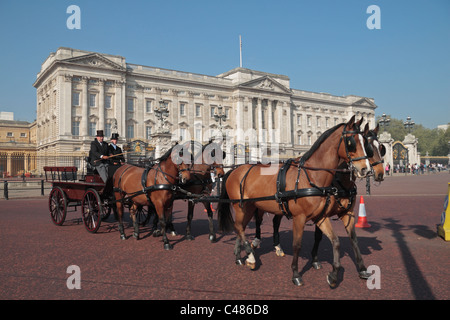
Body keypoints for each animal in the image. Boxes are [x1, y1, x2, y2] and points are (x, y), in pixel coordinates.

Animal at [217, 116, 370, 286]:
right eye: (351, 141)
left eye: (365, 142)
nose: (365, 169)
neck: (311, 177)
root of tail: (234, 169)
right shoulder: (299, 217)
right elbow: (297, 245)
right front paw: (296, 274)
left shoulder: (321, 216)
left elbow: (336, 241)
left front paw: (334, 275)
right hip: (240, 206)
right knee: (239, 226)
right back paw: (250, 256)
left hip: (249, 207)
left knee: (240, 227)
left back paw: (241, 257)